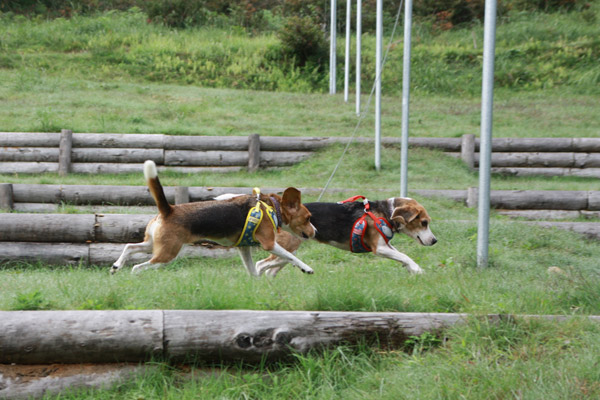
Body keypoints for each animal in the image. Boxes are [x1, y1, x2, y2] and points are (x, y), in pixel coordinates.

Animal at [110, 159, 316, 276]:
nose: (315, 231)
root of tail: (169, 209)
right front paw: (306, 268)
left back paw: (116, 266)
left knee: (130, 247)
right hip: (167, 254)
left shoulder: (244, 249)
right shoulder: (269, 243)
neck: (271, 207)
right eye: (308, 218)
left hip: (154, 244)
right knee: (138, 267)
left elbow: (253, 270)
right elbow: (291, 256)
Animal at [253, 195, 436, 276]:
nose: (435, 241)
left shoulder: (386, 245)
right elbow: (405, 255)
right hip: (287, 247)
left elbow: (401, 255)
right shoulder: (379, 248)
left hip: (289, 252)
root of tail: (275, 214)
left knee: (271, 269)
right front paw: (417, 269)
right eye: (424, 223)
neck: (385, 212)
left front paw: (412, 269)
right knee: (260, 265)